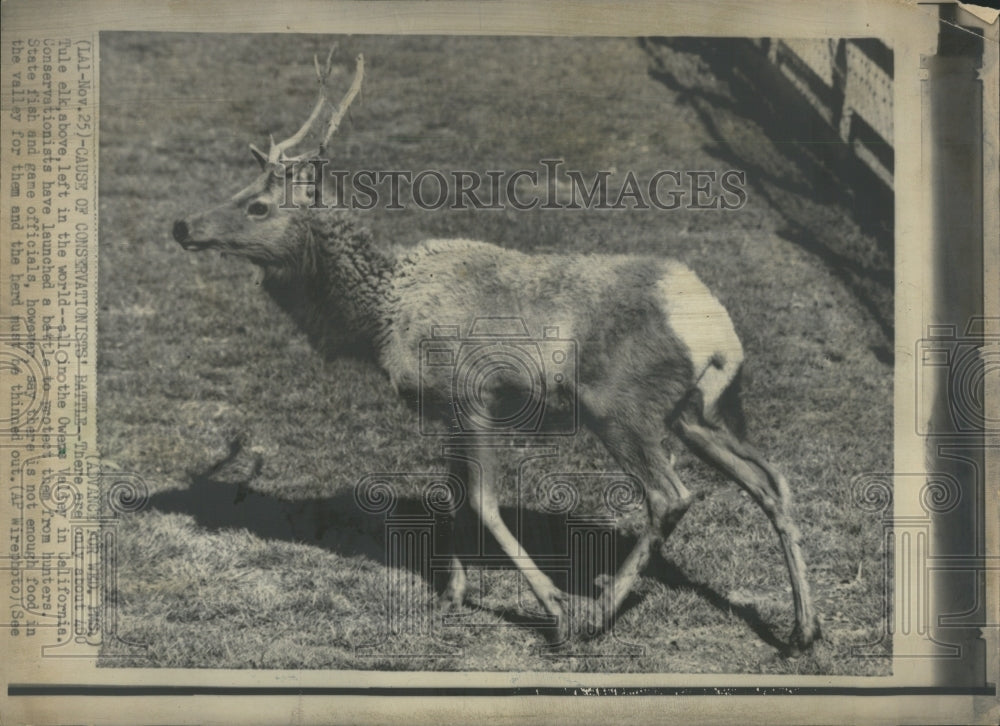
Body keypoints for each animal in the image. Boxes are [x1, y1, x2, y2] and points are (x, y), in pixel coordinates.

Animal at [171, 49, 821, 653]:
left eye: (258, 205)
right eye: (238, 188)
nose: (181, 225)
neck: (379, 321)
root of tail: (719, 335)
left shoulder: (471, 394)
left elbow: (484, 502)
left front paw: (554, 606)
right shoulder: (442, 408)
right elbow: (452, 495)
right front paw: (453, 593)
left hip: (619, 405)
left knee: (672, 496)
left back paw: (597, 614)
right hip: (701, 412)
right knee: (773, 480)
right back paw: (803, 629)